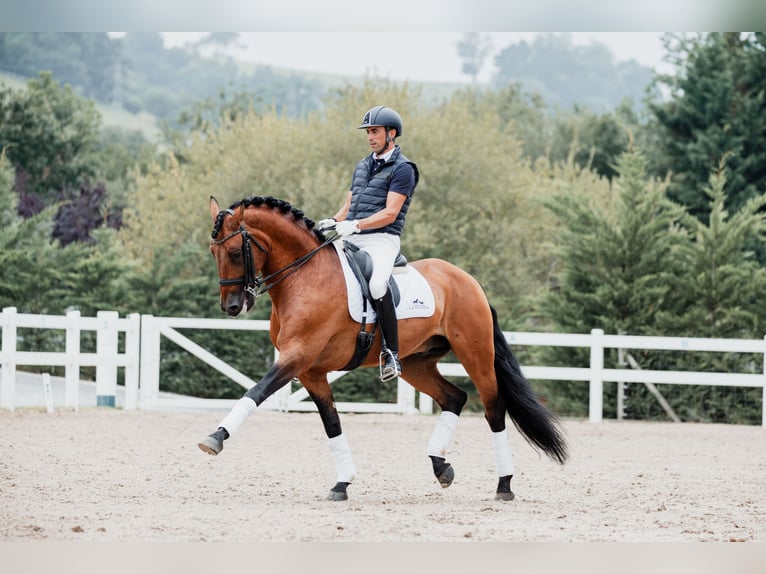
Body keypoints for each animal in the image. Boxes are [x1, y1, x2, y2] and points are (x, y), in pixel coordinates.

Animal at [200, 196, 568, 502]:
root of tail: (467, 280)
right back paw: (440, 466)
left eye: (235, 253)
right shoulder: (310, 370)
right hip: (417, 363)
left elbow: (256, 391)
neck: (305, 276)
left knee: (494, 408)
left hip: (475, 355)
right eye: (213, 253)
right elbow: (331, 423)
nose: (231, 307)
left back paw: (504, 484)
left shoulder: (297, 357)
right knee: (455, 398)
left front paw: (216, 437)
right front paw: (342, 483)